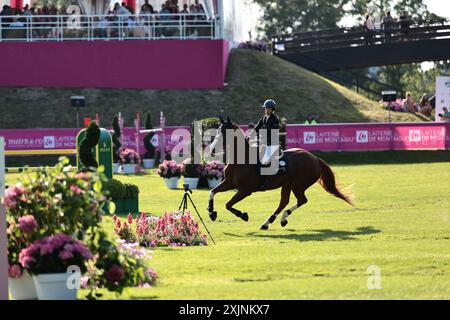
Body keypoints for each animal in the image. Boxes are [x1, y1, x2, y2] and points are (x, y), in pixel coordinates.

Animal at [207, 117, 356, 230]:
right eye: (217, 131)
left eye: (224, 133)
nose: (212, 150)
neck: (241, 159)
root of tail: (315, 159)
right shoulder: (229, 183)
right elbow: (212, 192)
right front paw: (211, 212)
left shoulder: (245, 190)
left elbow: (228, 204)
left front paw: (243, 215)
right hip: (288, 185)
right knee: (285, 202)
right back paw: (273, 221)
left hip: (298, 185)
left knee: (300, 200)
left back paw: (275, 220)